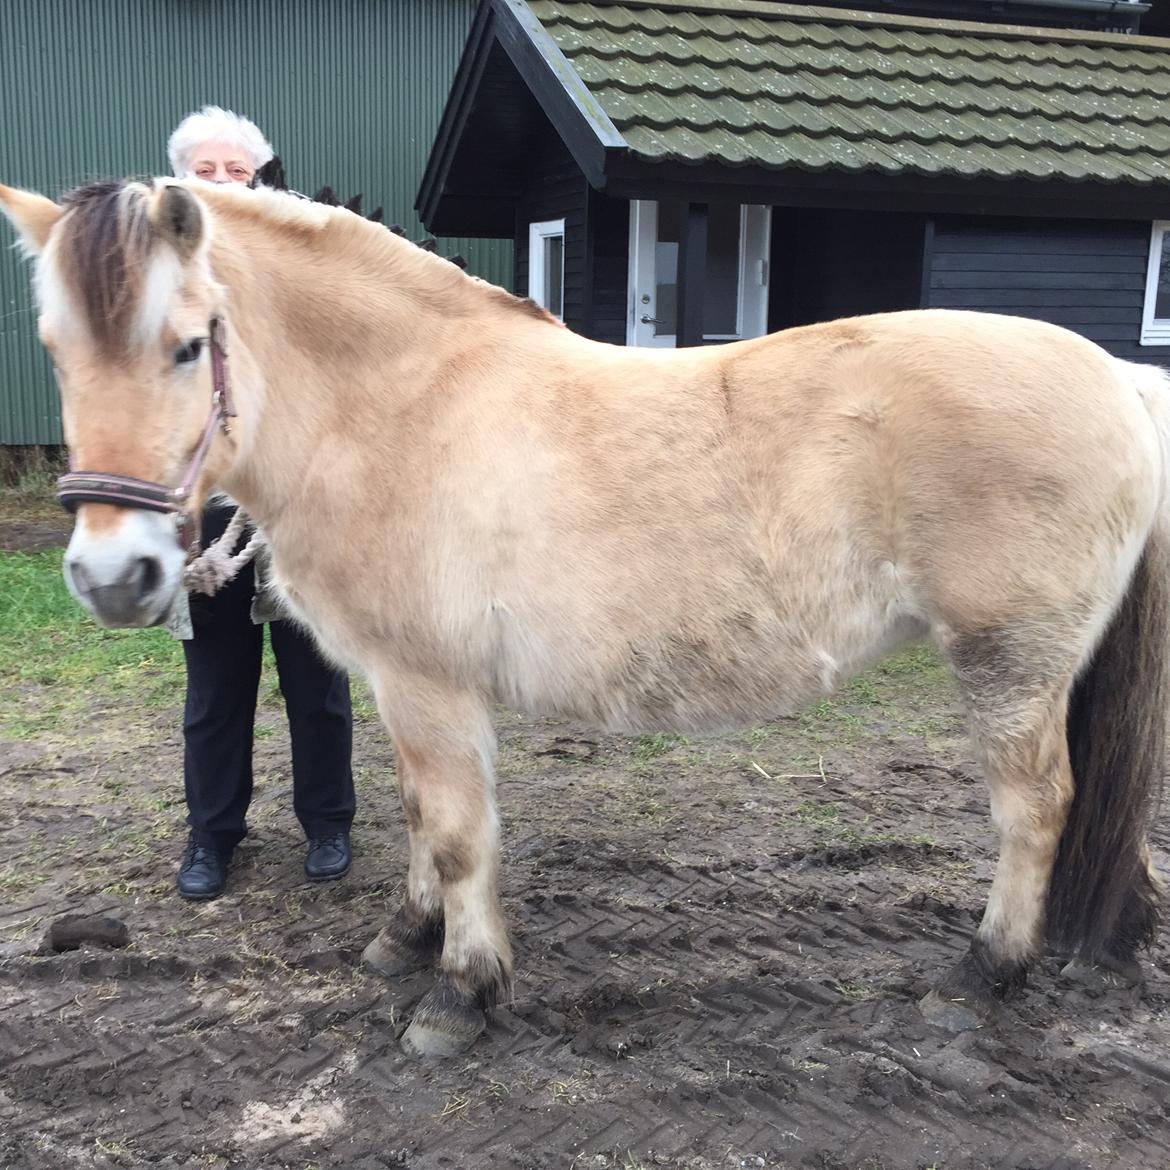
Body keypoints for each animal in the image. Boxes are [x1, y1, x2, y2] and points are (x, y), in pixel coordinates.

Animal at [4, 175, 1165, 1062]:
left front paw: (459, 995)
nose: (113, 575)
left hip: (1010, 664)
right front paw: (407, 938)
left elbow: (461, 838)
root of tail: (1120, 376)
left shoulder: (432, 688)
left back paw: (981, 977)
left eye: (187, 346)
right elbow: (421, 821)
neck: (397, 408)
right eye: (55, 350)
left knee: (1036, 811)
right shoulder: (400, 688)